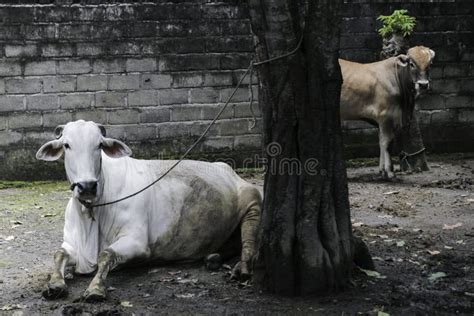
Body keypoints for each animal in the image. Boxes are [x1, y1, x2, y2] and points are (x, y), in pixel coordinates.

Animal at [35, 120, 262, 302]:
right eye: (67, 145)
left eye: (99, 145)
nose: (87, 186)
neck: (90, 214)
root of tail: (227, 168)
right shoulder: (71, 244)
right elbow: (58, 254)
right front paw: (55, 285)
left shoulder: (137, 243)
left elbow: (105, 254)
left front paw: (95, 289)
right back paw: (212, 258)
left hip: (253, 202)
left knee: (249, 244)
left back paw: (241, 269)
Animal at [338, 45, 436, 178]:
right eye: (411, 64)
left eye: (430, 64)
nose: (423, 85)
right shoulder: (385, 116)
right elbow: (387, 143)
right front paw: (389, 171)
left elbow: (381, 142)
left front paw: (382, 170)